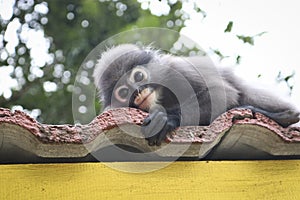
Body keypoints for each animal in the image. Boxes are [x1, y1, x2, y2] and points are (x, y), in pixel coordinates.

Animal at [92, 43, 298, 145]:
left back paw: (283, 115)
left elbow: (222, 93)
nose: (138, 92)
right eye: (124, 92)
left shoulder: (177, 70)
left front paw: (168, 118)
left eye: (138, 76)